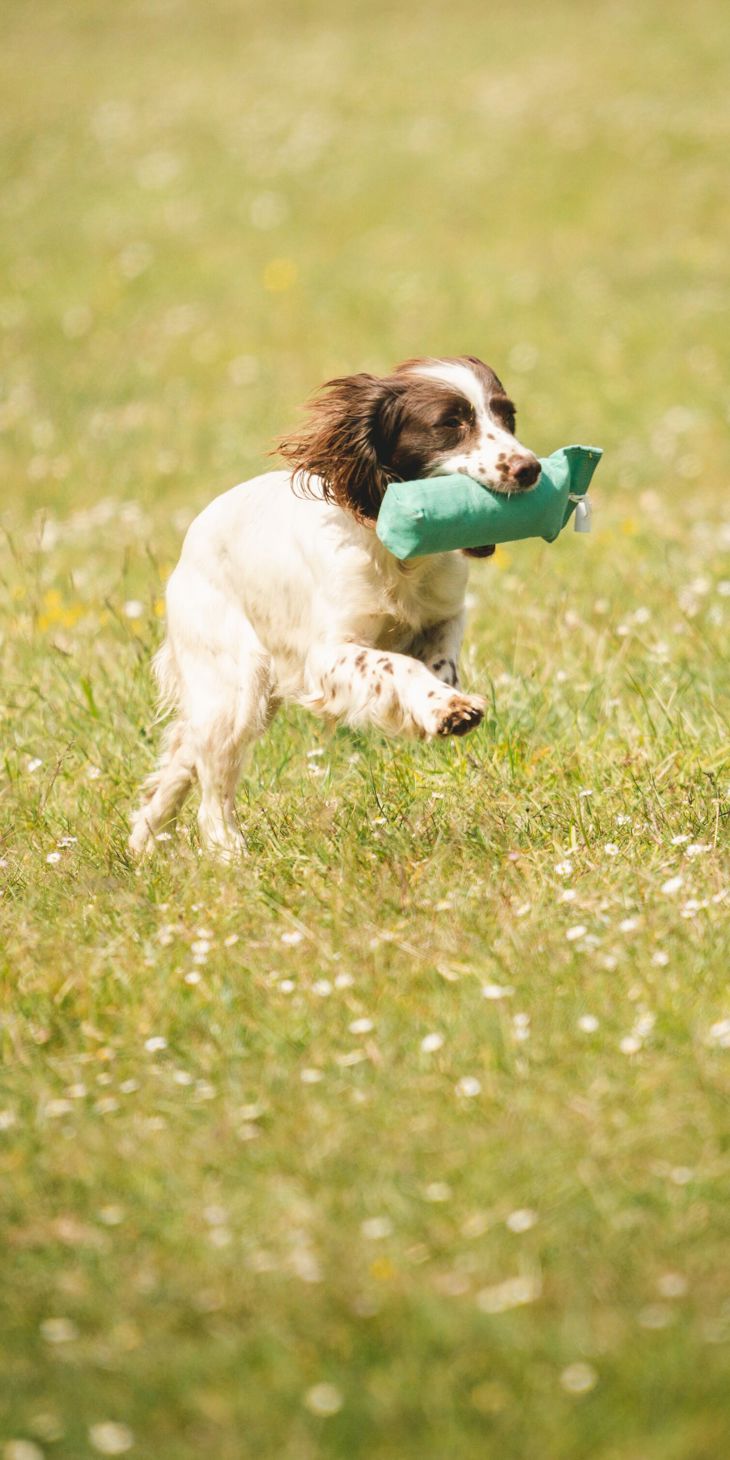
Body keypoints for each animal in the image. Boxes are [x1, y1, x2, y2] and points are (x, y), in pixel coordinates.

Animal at [129, 355, 540, 858]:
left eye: (508, 416)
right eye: (450, 423)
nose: (530, 469)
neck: (398, 554)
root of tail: (189, 543)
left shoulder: (445, 613)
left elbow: (438, 660)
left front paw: (445, 703)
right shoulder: (326, 654)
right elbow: (396, 665)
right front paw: (444, 709)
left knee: (184, 755)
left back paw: (144, 839)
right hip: (235, 687)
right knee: (213, 787)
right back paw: (229, 852)